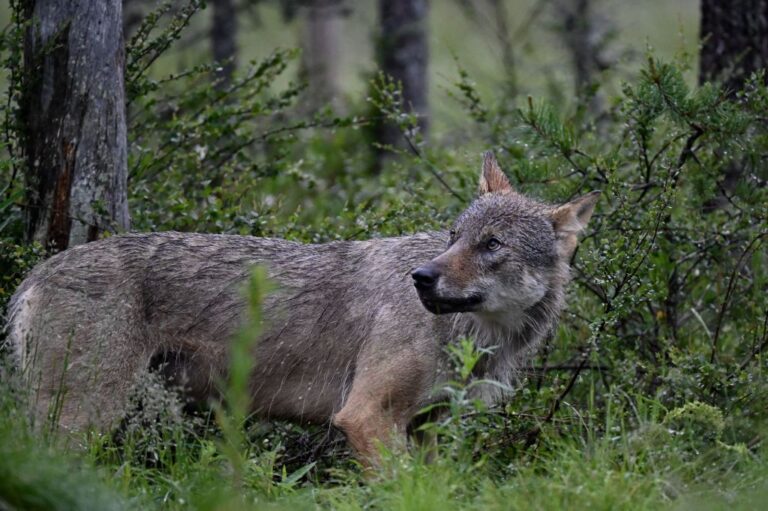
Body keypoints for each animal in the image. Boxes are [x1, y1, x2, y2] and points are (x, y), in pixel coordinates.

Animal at [5, 152, 598, 462]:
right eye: (454, 237)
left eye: (491, 245)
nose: (421, 278)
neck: (477, 339)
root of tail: (36, 272)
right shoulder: (366, 417)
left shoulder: (430, 427)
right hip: (82, 422)